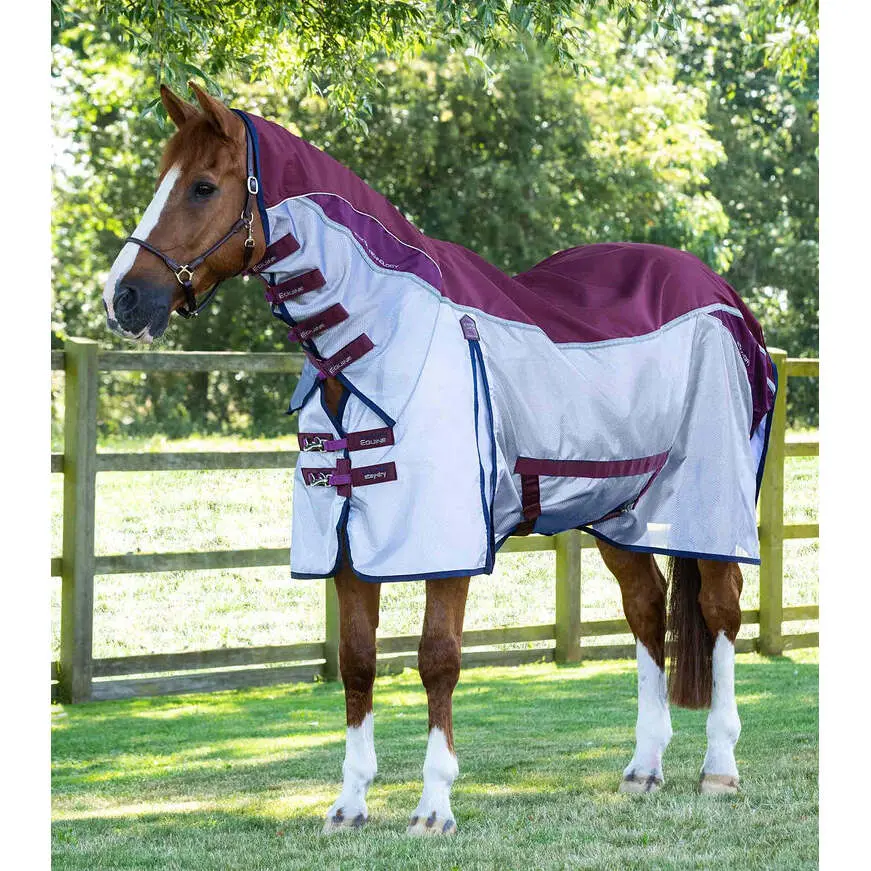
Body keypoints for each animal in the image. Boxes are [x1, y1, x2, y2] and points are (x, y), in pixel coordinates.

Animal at [103, 83, 775, 834]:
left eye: (202, 186)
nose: (121, 298)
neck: (378, 342)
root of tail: (723, 298)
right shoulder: (348, 544)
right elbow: (358, 662)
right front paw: (349, 804)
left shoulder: (446, 543)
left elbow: (437, 659)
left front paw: (433, 805)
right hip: (618, 511)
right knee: (646, 608)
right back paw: (644, 766)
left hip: (705, 504)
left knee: (719, 610)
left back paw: (718, 766)